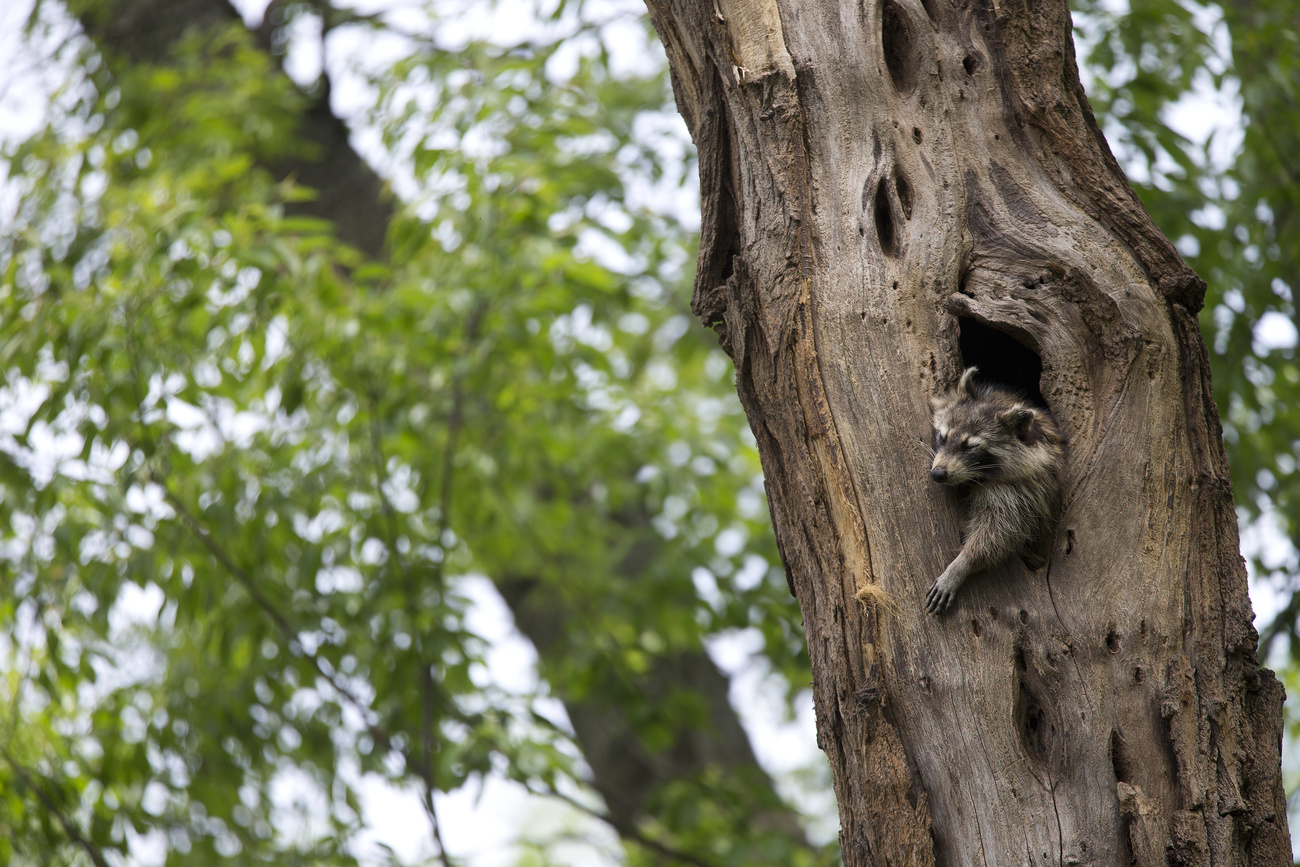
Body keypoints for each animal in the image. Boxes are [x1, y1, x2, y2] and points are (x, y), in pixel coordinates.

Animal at [925, 369, 1066, 613]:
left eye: (970, 446)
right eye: (943, 437)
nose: (938, 474)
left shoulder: (1022, 489)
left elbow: (999, 532)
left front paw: (962, 563)